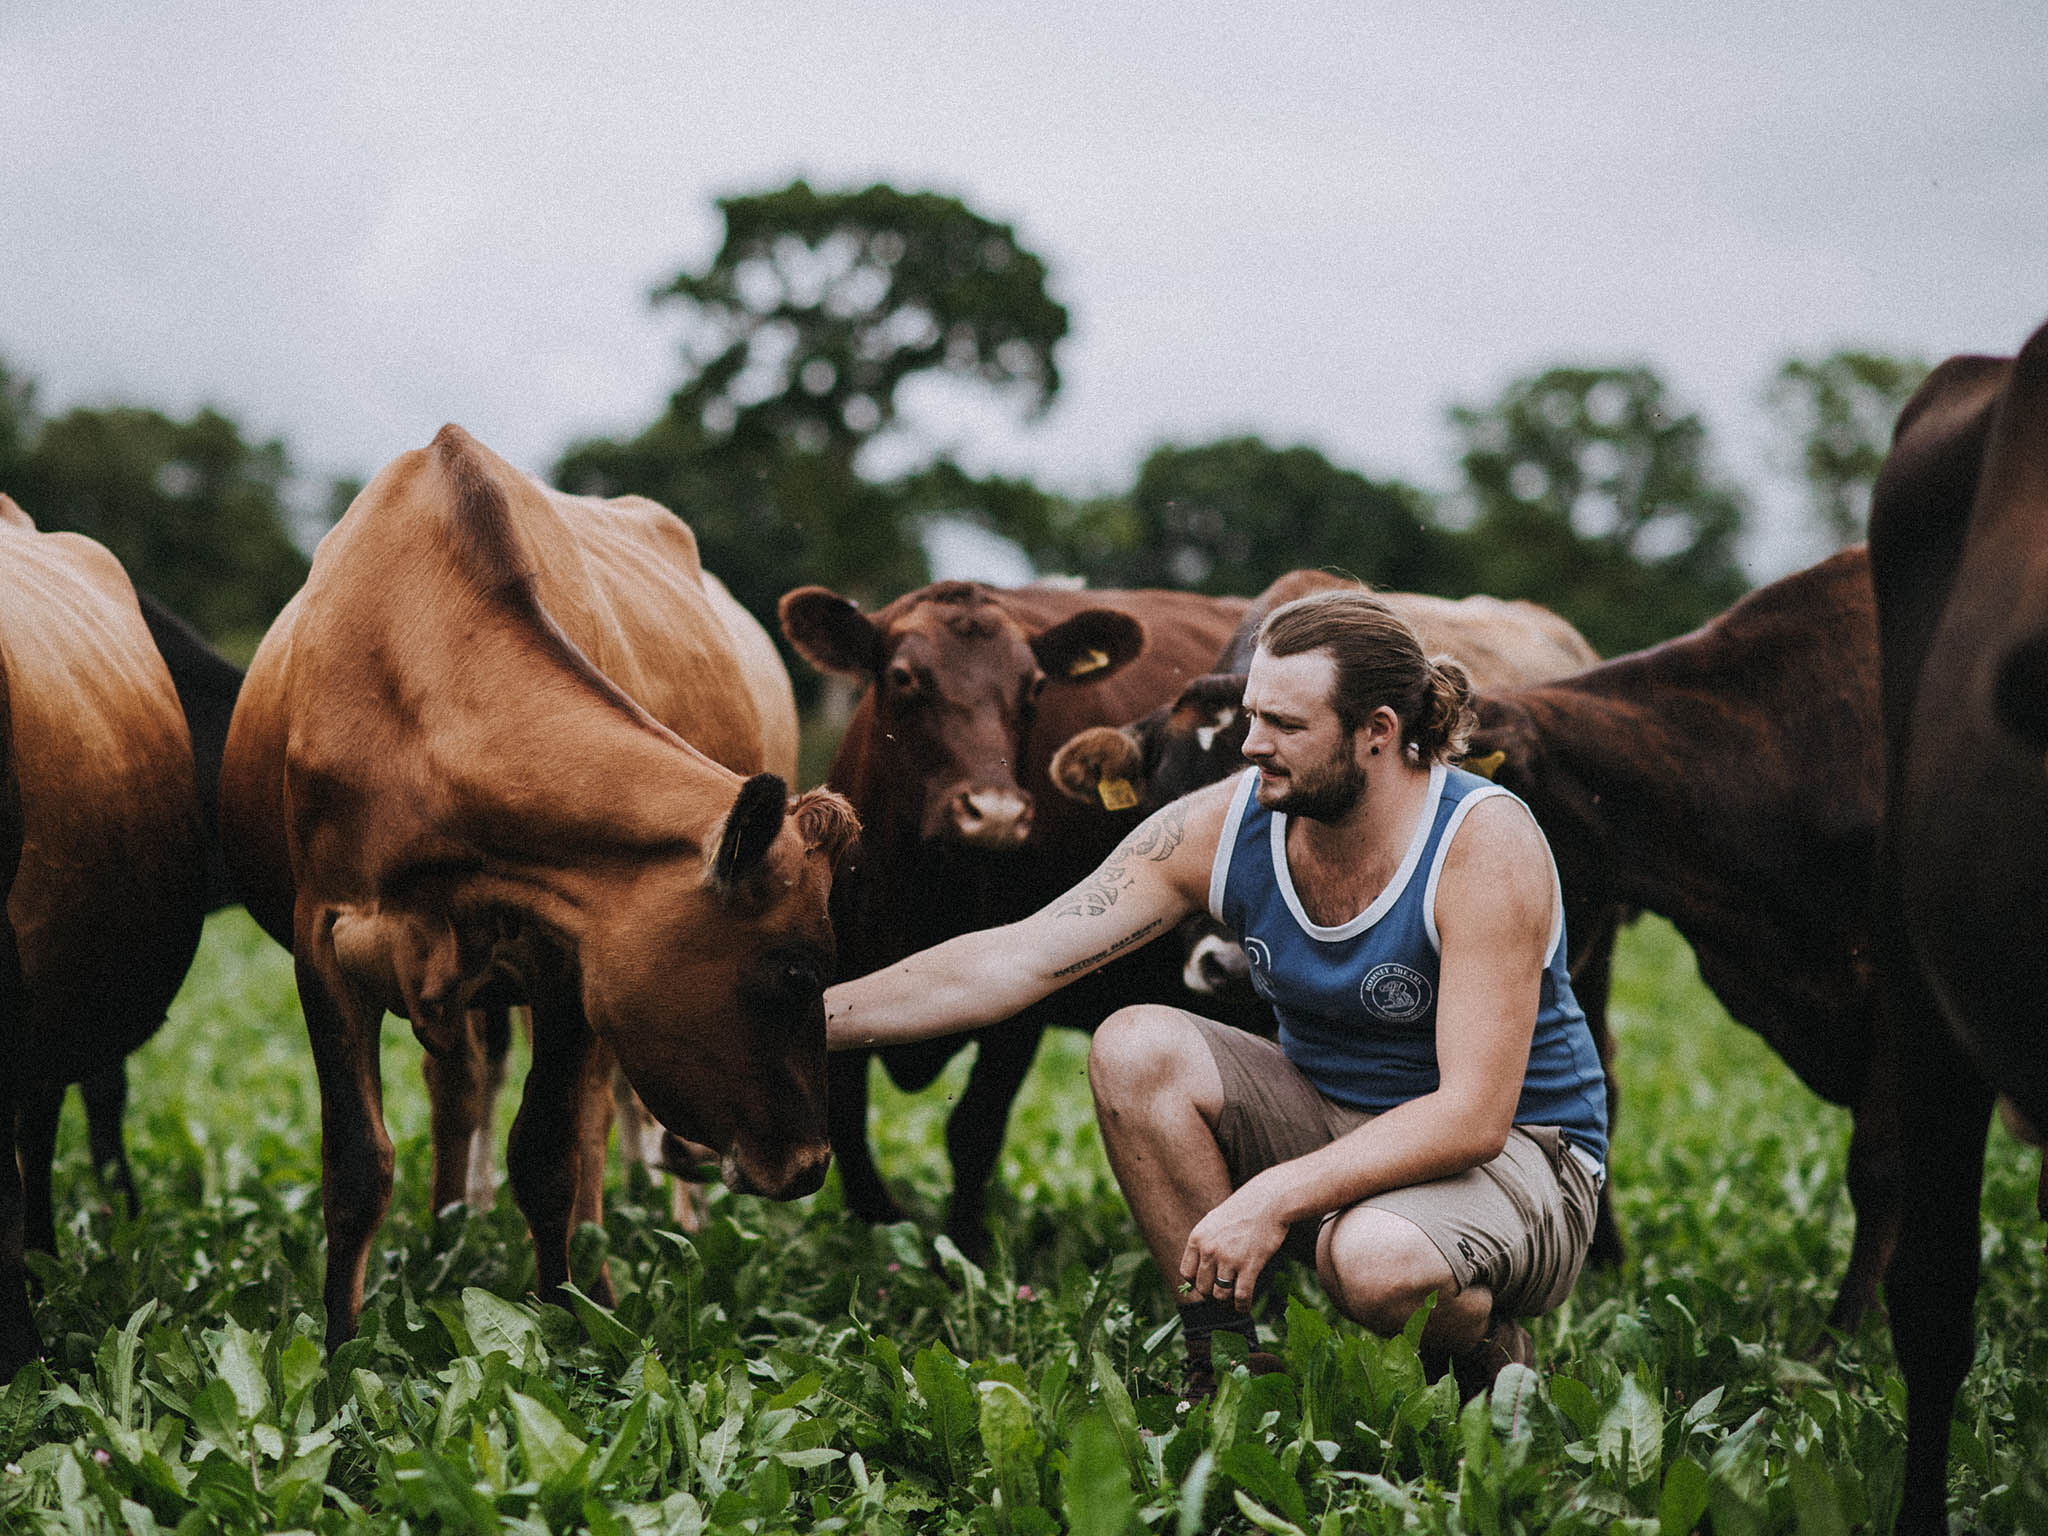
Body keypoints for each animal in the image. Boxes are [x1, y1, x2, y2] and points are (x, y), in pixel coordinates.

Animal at [220, 428, 860, 1343]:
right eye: (798, 971)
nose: (811, 1164)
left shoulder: (567, 965)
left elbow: (551, 1154)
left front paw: (568, 1320)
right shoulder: (325, 945)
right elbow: (357, 1162)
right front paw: (340, 1346)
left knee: (588, 1120)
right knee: (459, 1090)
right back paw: (448, 1229)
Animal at [778, 581, 1245, 1253]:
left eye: (1035, 687)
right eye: (903, 676)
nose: (995, 812)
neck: (925, 891)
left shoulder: (1023, 1012)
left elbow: (972, 1131)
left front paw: (964, 1249)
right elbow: (845, 1125)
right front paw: (887, 1239)